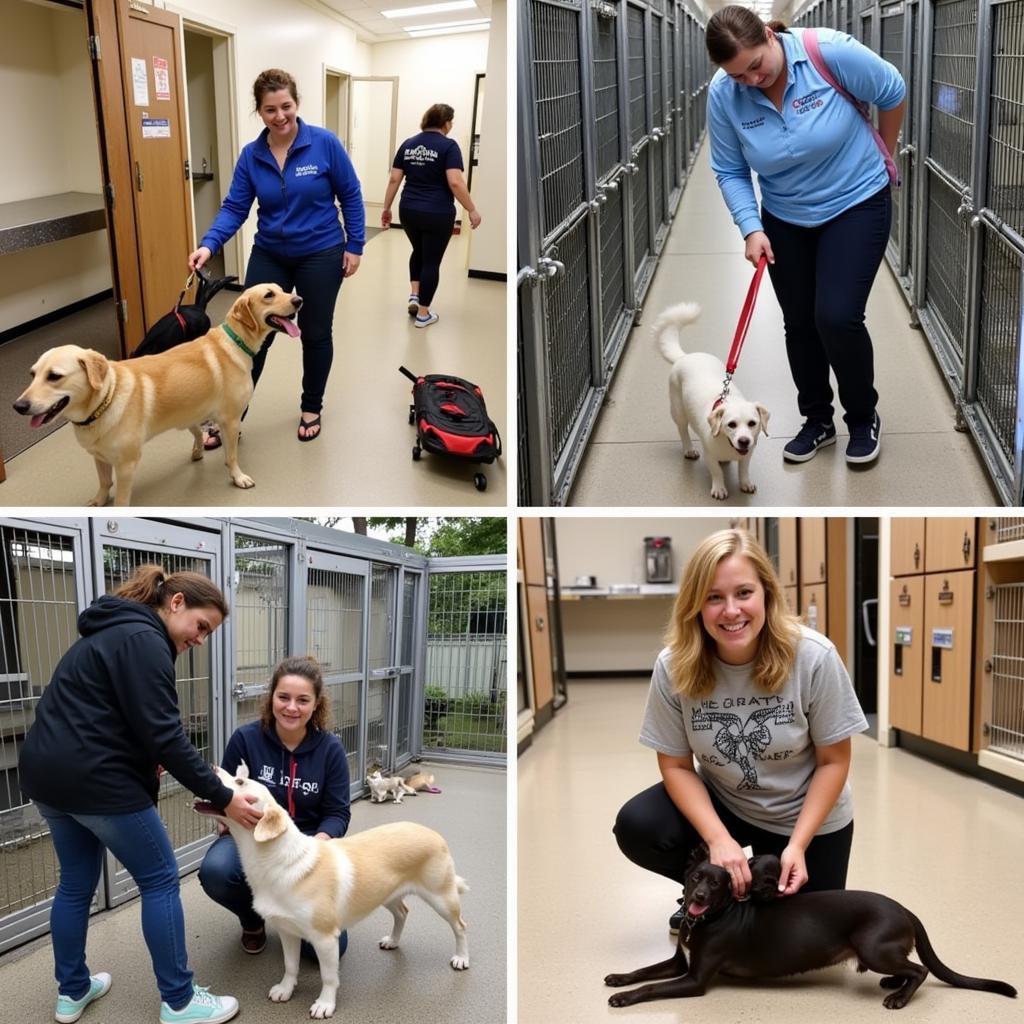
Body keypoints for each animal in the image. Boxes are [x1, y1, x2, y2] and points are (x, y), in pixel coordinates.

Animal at [12, 282, 299, 505]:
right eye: (269, 295)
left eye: (54, 376)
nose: (18, 406)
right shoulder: (101, 458)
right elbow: (105, 484)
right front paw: (99, 501)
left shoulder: (127, 464)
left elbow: (231, 455)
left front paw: (237, 476)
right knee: (197, 432)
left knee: (199, 433)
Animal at [196, 761, 471, 1015]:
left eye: (240, 782)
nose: (211, 766)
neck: (277, 861)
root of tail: (433, 833)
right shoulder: (288, 931)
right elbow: (290, 965)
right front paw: (286, 989)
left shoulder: (326, 939)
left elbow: (329, 977)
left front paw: (325, 1004)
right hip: (387, 894)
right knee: (403, 913)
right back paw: (393, 941)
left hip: (442, 898)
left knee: (460, 927)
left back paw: (461, 958)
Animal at [606, 851, 1015, 1011]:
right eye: (694, 878)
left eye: (717, 884)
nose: (699, 898)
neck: (711, 918)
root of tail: (904, 908)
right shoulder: (681, 964)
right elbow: (644, 971)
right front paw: (617, 979)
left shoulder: (694, 979)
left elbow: (651, 987)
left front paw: (624, 998)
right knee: (909, 968)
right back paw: (892, 984)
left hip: (872, 947)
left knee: (920, 970)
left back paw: (898, 998)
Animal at [651, 299, 770, 499]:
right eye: (731, 424)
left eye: (752, 423)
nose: (744, 441)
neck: (728, 445)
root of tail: (686, 356)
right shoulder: (710, 456)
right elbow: (716, 472)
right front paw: (719, 488)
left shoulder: (747, 455)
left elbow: (743, 470)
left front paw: (745, 483)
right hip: (678, 411)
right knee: (682, 431)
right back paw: (689, 449)